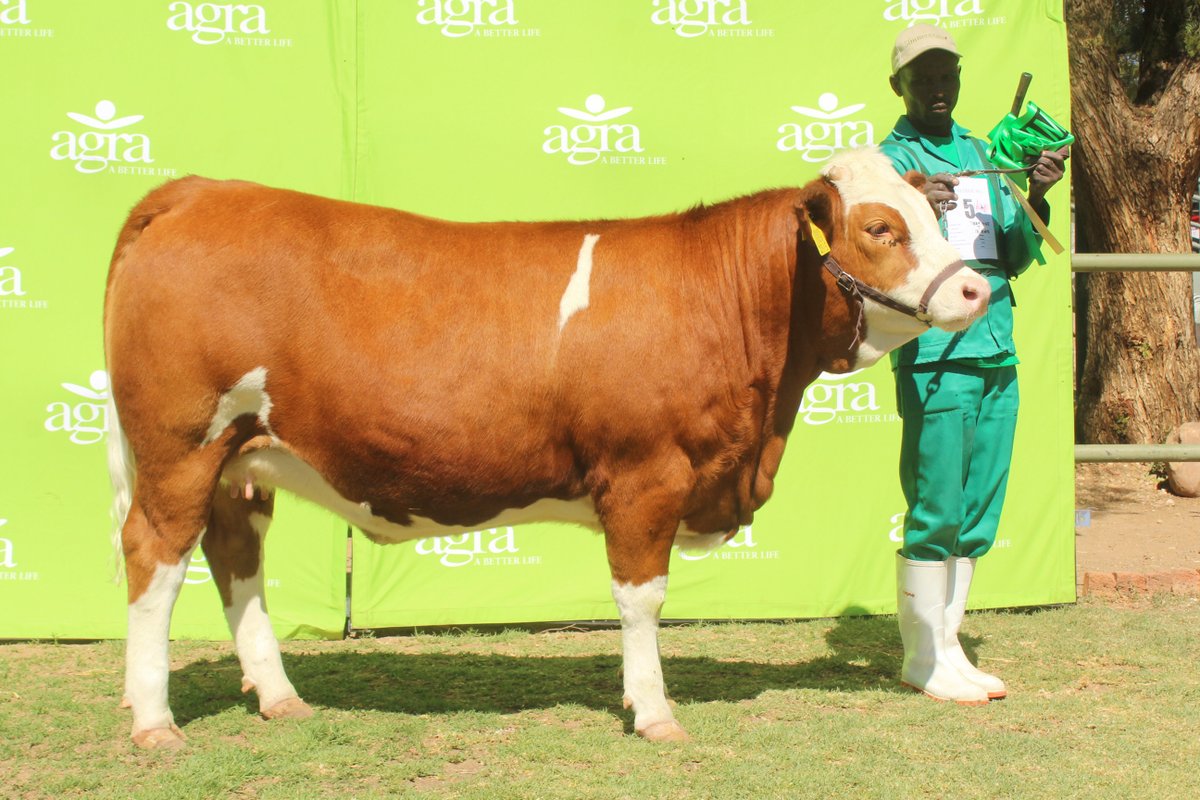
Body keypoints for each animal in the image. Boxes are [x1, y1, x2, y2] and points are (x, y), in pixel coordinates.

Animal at [104, 147, 989, 749]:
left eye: (932, 215)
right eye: (880, 227)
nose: (976, 289)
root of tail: (200, 191)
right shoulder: (644, 474)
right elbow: (642, 599)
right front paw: (654, 712)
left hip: (240, 461)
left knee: (235, 560)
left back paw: (278, 696)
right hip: (182, 447)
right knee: (153, 556)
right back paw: (154, 720)